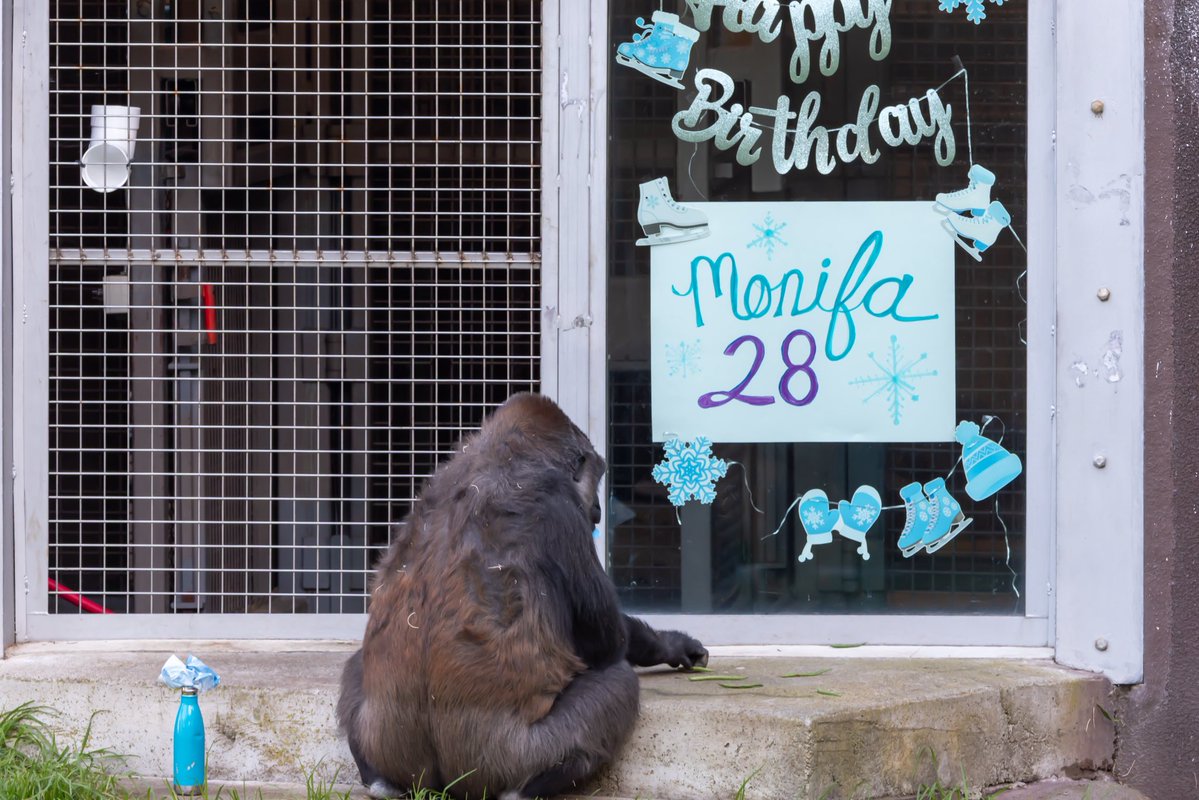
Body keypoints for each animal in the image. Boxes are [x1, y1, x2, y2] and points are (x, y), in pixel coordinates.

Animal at [338, 392, 708, 799]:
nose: (596, 510)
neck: (502, 452)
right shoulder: (561, 506)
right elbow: (609, 640)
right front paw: (667, 643)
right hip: (505, 757)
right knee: (619, 682)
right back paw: (530, 787)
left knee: (356, 666)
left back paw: (379, 779)